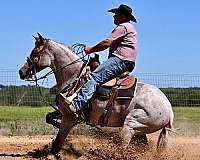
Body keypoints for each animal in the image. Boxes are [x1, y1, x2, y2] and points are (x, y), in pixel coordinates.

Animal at [18, 33, 173, 154]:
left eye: (34, 52)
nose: (21, 71)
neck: (74, 77)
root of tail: (169, 110)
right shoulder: (62, 112)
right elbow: (48, 118)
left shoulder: (69, 117)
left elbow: (58, 142)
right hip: (139, 131)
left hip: (132, 124)